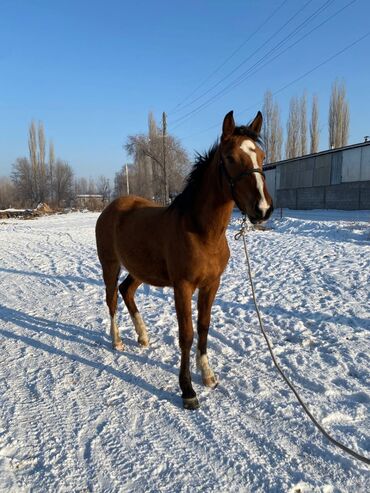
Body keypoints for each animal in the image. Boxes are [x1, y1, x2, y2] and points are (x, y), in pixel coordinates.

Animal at [97, 110, 274, 408]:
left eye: (261, 156)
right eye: (230, 157)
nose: (262, 209)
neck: (202, 233)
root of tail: (111, 207)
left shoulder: (211, 285)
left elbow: (203, 328)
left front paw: (208, 376)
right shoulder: (183, 287)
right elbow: (187, 335)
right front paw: (188, 391)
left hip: (139, 270)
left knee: (126, 291)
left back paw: (143, 336)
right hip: (110, 265)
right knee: (111, 299)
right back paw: (117, 340)